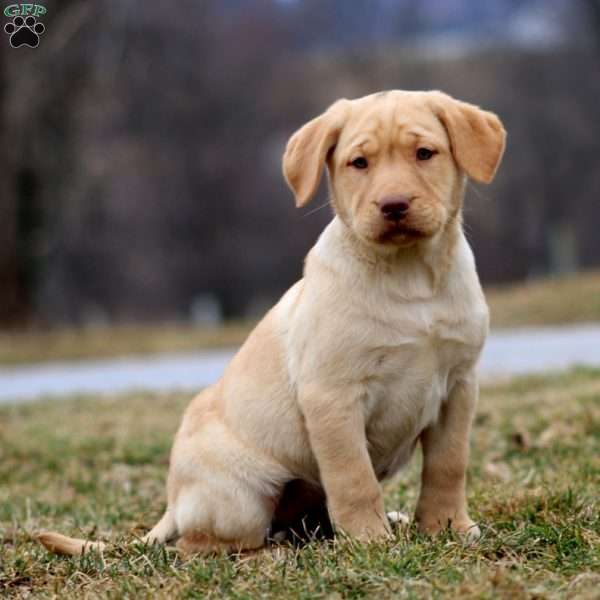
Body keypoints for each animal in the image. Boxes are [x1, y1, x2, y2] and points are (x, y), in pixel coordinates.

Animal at [38, 90, 506, 556]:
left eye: (424, 153)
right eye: (359, 163)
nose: (394, 206)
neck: (411, 278)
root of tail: (174, 500)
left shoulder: (459, 385)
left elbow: (448, 465)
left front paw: (448, 526)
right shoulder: (332, 396)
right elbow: (353, 477)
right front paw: (368, 540)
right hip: (242, 497)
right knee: (203, 543)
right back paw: (272, 551)